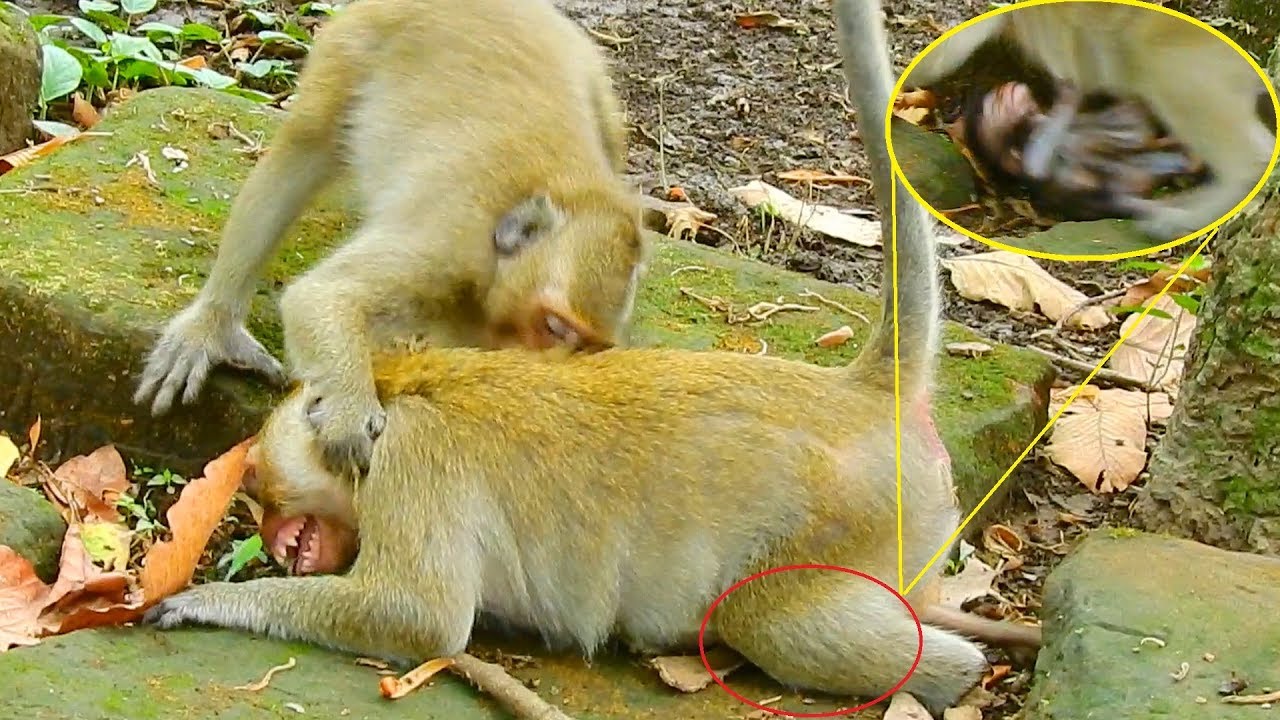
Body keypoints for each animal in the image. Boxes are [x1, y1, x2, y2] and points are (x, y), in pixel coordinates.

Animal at [132, 0, 647, 475]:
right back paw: (214, 325)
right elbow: (322, 297)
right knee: (307, 144)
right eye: (554, 327)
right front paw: (349, 411)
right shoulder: (445, 247)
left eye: (583, 346)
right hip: (354, 45)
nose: (545, 365)